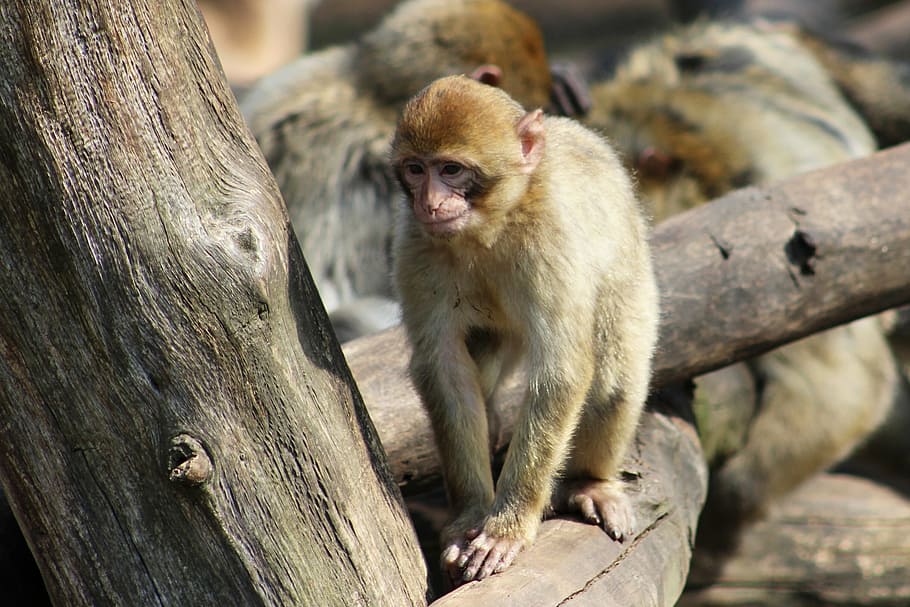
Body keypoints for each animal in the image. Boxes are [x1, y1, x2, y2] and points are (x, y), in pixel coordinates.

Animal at [390, 75, 659, 586]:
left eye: (451, 170)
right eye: (416, 170)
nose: (429, 202)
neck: (492, 226)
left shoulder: (548, 241)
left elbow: (562, 371)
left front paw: (507, 527)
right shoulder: (417, 250)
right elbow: (444, 368)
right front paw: (470, 514)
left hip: (634, 280)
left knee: (613, 382)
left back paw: (588, 482)